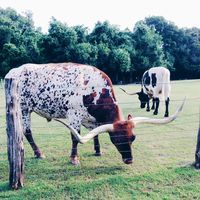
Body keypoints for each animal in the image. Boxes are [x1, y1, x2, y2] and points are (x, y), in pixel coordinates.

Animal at [5, 63, 181, 165]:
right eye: (116, 140)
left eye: (133, 137)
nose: (129, 160)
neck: (95, 89)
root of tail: (13, 71)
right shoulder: (74, 116)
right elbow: (75, 138)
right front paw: (74, 158)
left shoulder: (93, 119)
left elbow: (95, 133)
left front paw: (97, 151)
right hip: (24, 108)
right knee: (27, 131)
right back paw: (39, 153)